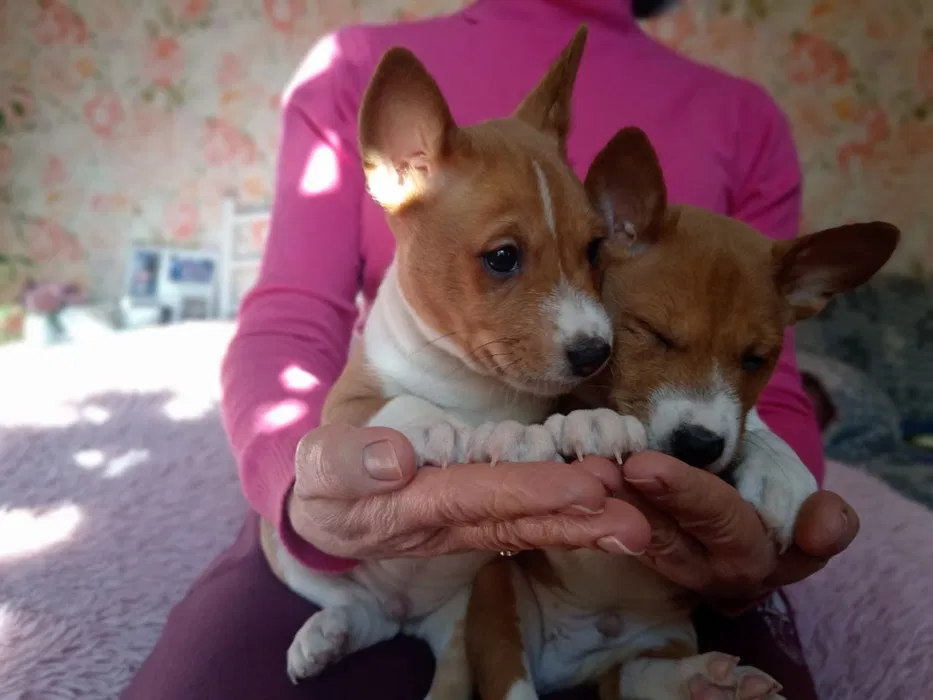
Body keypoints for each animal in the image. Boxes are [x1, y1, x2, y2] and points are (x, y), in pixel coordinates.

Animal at [462, 126, 900, 700]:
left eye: (755, 360)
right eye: (656, 334)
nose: (697, 446)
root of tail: (570, 665)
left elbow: (750, 429)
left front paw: (779, 472)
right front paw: (584, 424)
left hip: (659, 641)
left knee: (634, 676)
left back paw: (710, 680)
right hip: (497, 597)